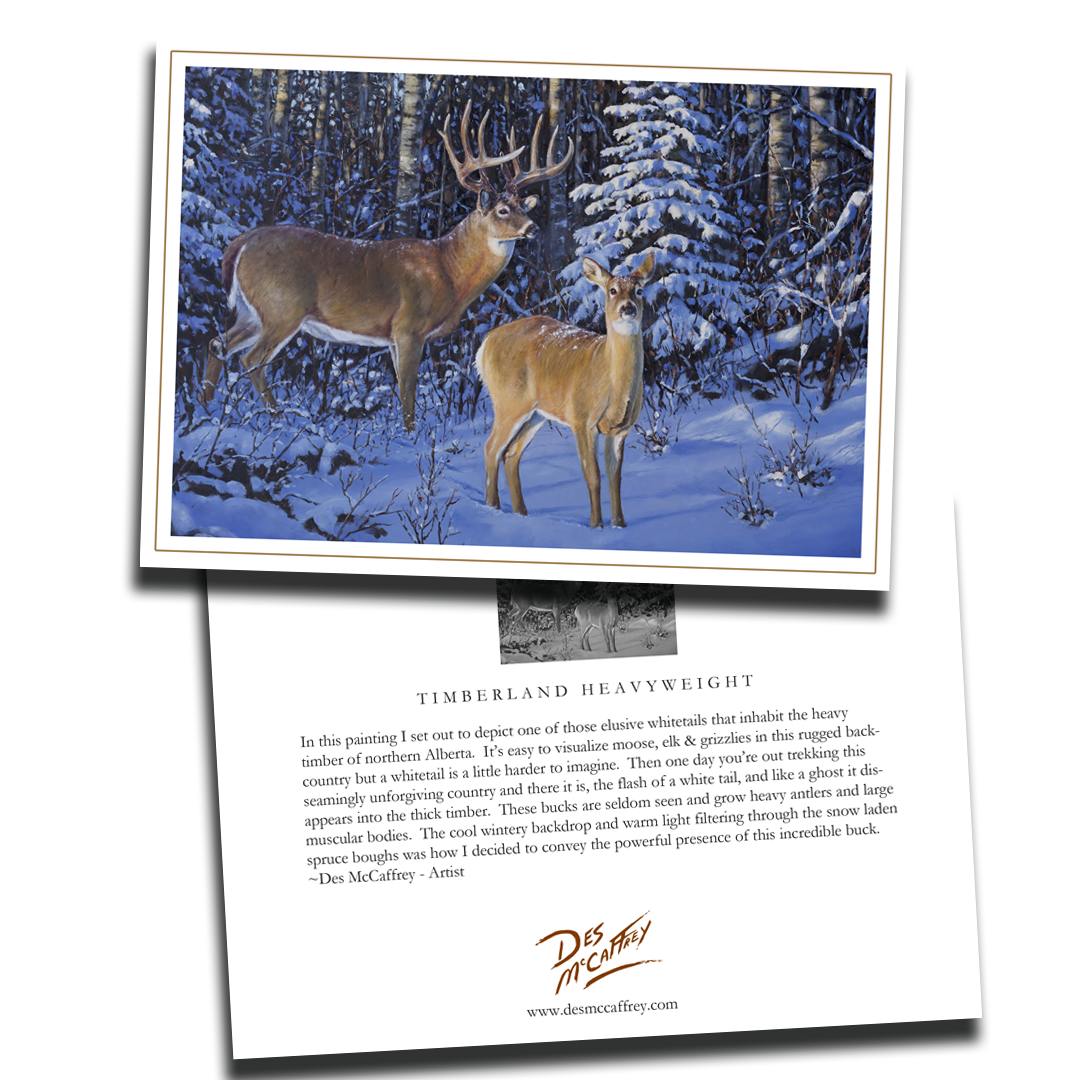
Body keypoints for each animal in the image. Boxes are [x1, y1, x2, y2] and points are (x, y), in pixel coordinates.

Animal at [198, 101, 573, 431]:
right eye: (502, 211)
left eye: (522, 206)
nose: (532, 228)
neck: (450, 271)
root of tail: (240, 244)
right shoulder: (408, 327)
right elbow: (407, 388)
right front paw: (409, 435)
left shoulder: (394, 337)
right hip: (282, 308)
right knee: (250, 361)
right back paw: (277, 419)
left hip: (253, 311)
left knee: (217, 343)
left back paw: (207, 414)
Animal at [476, 252, 656, 528]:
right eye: (612, 290)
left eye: (639, 290)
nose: (628, 308)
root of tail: (484, 345)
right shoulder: (580, 419)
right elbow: (593, 475)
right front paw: (596, 525)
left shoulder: (621, 430)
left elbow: (615, 478)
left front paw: (620, 525)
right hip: (508, 402)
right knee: (491, 448)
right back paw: (493, 508)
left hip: (537, 413)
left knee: (511, 453)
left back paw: (521, 513)